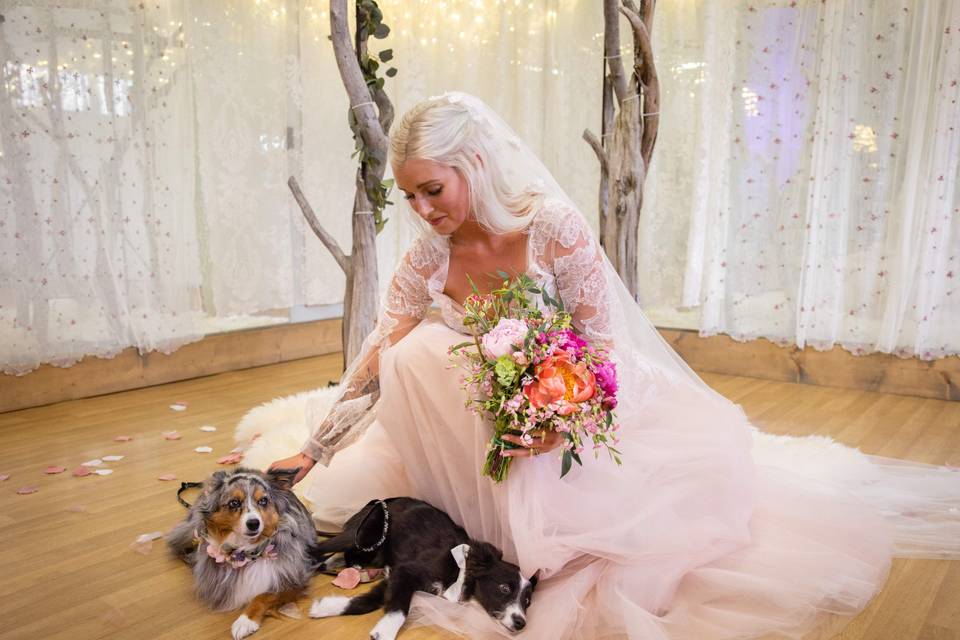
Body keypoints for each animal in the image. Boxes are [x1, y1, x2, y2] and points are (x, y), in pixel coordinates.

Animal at [165, 464, 314, 640]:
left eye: (263, 501)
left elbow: (264, 595)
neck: (247, 551)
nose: (254, 523)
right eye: (234, 503)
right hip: (190, 530)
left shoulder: (293, 579)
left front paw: (245, 621)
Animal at [308, 498, 536, 636]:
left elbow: (366, 602)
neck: (461, 571)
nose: (521, 623)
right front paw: (386, 631)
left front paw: (324, 607)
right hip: (360, 535)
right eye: (504, 588)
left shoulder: (395, 576)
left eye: (528, 602)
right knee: (315, 550)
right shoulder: (407, 572)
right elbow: (399, 609)